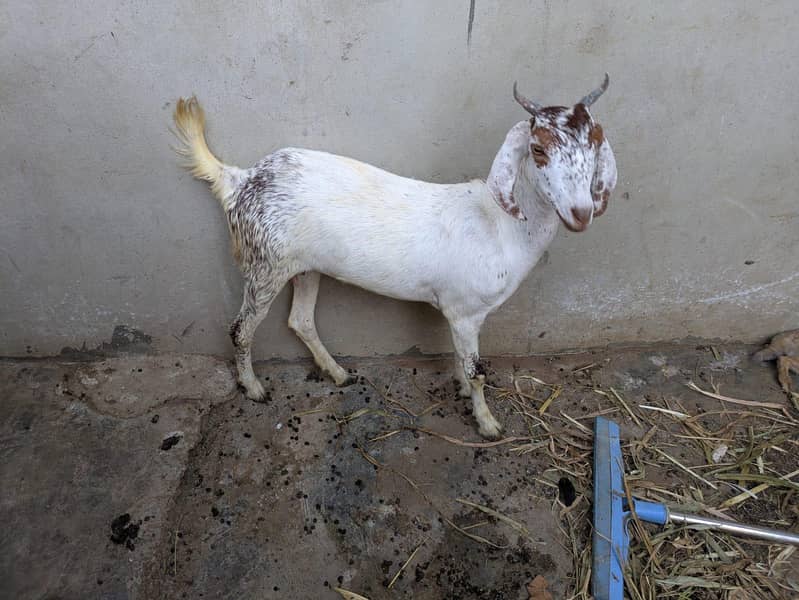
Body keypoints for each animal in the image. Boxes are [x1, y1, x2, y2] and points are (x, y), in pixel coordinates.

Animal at [172, 76, 617, 439]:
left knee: (299, 320)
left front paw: (462, 391)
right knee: (240, 329)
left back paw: (338, 373)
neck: (500, 224)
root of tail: (241, 179)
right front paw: (488, 423)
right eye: (538, 149)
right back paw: (254, 388)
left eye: (595, 143)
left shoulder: (458, 314)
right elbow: (476, 370)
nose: (580, 213)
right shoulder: (466, 310)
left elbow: (462, 360)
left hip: (304, 267)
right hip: (265, 264)